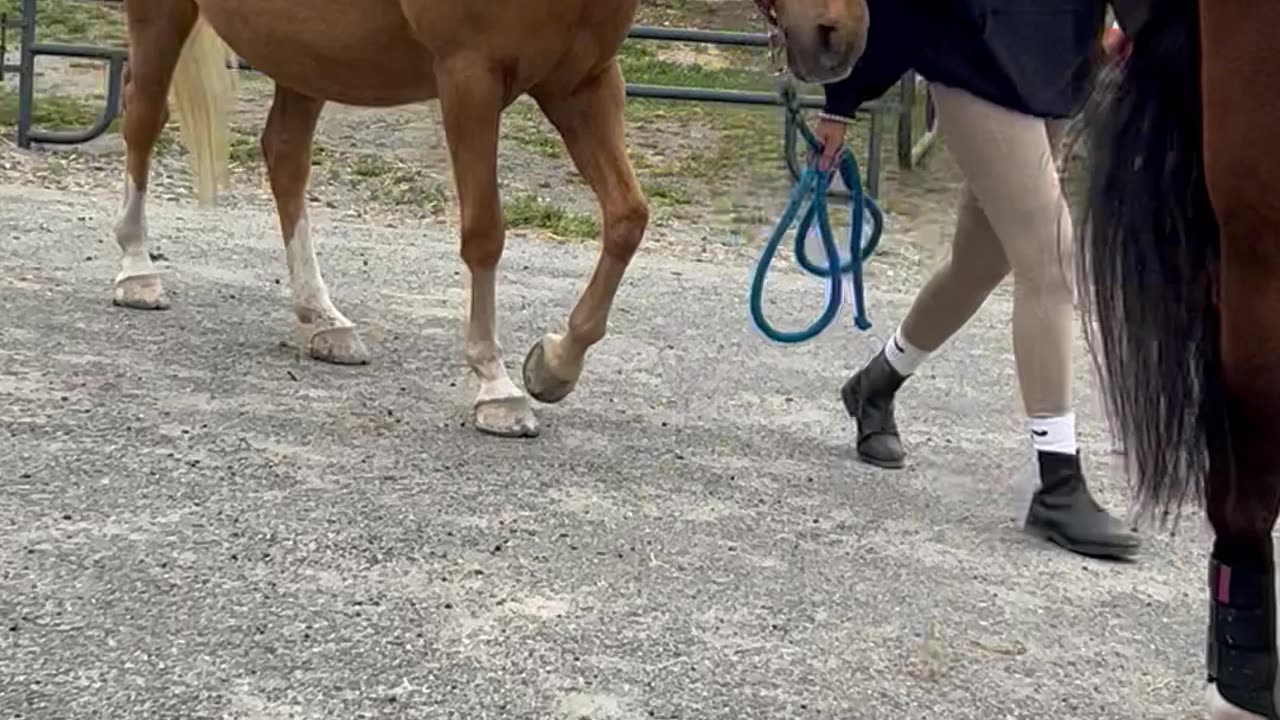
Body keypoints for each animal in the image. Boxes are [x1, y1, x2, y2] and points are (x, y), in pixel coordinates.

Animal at [112, 0, 870, 438]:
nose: (841, 37)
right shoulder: (468, 76)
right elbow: (485, 232)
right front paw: (497, 388)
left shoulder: (582, 81)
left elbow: (628, 218)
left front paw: (553, 365)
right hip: (163, 12)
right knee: (142, 115)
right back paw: (136, 273)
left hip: (305, 50)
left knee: (285, 156)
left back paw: (324, 321)